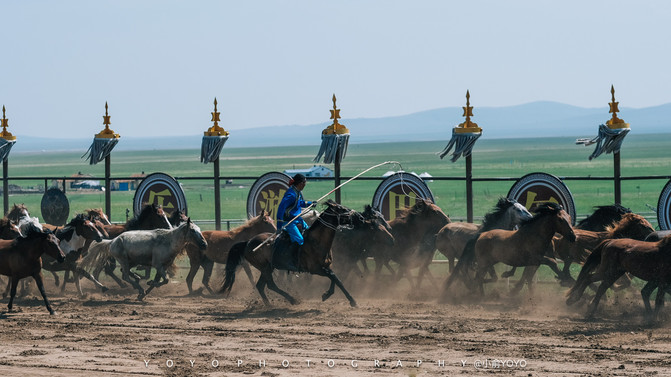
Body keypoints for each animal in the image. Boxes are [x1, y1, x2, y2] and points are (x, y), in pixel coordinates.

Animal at [220, 200, 360, 306]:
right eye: (342, 208)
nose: (359, 216)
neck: (316, 241)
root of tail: (248, 242)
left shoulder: (326, 266)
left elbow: (335, 278)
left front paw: (326, 294)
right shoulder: (316, 269)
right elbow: (336, 278)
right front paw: (352, 301)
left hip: (268, 268)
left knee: (261, 286)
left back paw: (269, 303)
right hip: (264, 267)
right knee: (270, 285)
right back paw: (291, 300)